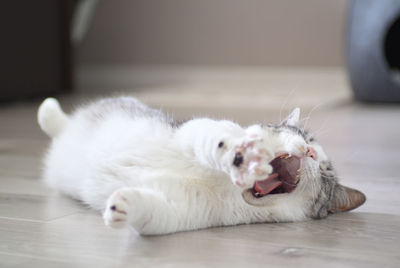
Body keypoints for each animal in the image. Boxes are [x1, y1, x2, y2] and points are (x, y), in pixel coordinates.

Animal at [37, 96, 366, 234]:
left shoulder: (181, 210)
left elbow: (153, 214)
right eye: (302, 135)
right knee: (56, 119)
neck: (224, 184)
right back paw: (50, 109)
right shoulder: (192, 132)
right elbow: (212, 137)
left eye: (325, 172)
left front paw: (124, 206)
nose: (309, 151)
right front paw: (235, 153)